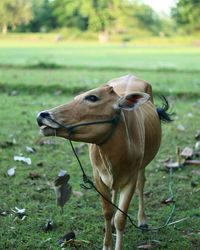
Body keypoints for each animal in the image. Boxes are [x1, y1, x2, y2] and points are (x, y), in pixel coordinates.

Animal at [37, 73, 172, 249]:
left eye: (92, 97)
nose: (42, 115)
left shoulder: (131, 178)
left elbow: (121, 218)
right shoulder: (98, 177)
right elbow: (107, 212)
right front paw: (107, 244)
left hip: (142, 166)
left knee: (141, 183)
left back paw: (142, 220)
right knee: (114, 191)